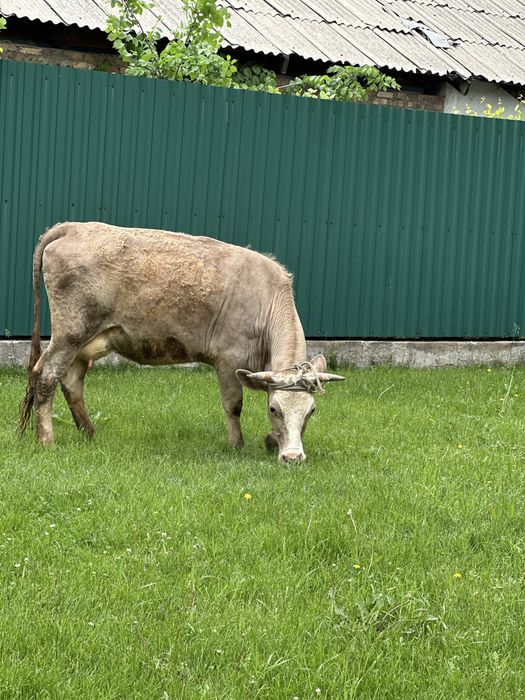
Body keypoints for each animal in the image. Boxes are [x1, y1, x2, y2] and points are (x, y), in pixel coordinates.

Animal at [19, 222, 344, 462]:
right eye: (275, 410)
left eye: (311, 411)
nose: (293, 457)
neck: (266, 299)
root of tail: (72, 227)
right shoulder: (228, 360)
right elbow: (233, 405)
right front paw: (237, 445)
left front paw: (271, 441)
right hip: (70, 333)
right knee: (45, 376)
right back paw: (47, 440)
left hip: (85, 341)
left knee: (71, 382)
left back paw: (89, 433)